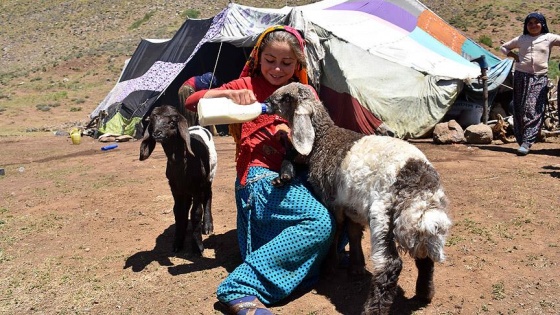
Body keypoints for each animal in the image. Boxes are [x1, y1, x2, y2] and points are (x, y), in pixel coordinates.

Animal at [139, 105, 218, 256]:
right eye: (152, 121)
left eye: (172, 122)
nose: (157, 133)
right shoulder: (175, 188)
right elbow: (178, 212)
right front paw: (177, 243)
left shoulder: (197, 187)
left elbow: (196, 213)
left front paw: (197, 246)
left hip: (209, 174)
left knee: (208, 196)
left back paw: (207, 226)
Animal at [264, 84, 452, 315]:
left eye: (285, 97)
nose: (267, 101)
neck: (323, 139)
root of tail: (420, 184)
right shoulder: (351, 205)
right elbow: (353, 233)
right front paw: (356, 267)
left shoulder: (331, 200)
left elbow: (336, 232)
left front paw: (330, 266)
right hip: (419, 220)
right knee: (425, 255)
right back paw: (424, 293)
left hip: (382, 214)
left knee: (389, 264)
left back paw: (374, 310)